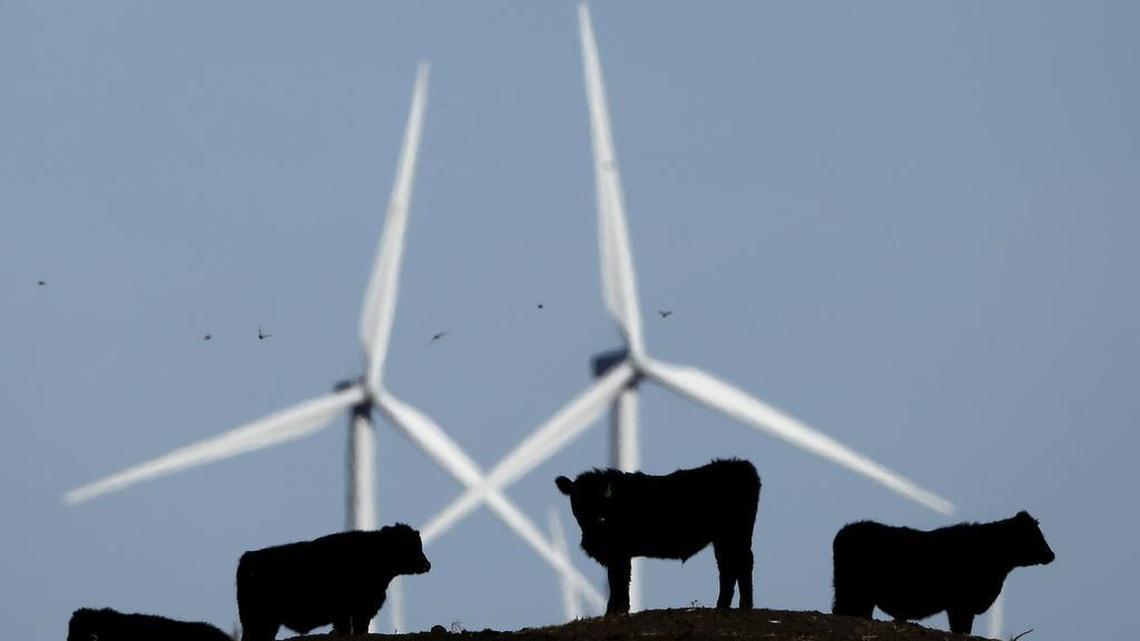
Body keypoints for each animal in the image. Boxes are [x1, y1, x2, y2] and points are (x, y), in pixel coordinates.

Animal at [236, 524, 430, 641]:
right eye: (407, 547)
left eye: (419, 545)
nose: (427, 565)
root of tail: (248, 557)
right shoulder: (352, 612)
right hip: (258, 619)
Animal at [555, 458, 761, 615]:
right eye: (576, 503)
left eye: (598, 501)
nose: (587, 540)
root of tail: (740, 465)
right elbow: (619, 580)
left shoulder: (619, 552)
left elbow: (619, 581)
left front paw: (614, 611)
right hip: (724, 538)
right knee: (728, 566)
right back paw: (724, 606)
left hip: (735, 533)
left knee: (741, 563)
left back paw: (744, 606)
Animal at [832, 511, 1055, 635]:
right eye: (1035, 536)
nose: (1051, 555)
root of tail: (847, 530)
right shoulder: (962, 605)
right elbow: (961, 629)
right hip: (853, 591)